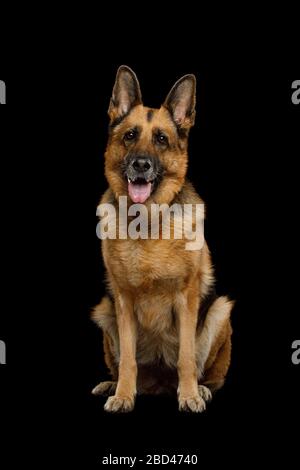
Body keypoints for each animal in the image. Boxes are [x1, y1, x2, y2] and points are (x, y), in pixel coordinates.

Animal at [92, 66, 233, 412]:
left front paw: (190, 395)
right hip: (104, 311)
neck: (148, 224)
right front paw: (123, 395)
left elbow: (185, 358)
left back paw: (201, 388)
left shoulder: (187, 298)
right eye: (130, 135)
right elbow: (128, 360)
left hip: (220, 311)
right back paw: (112, 385)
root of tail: (158, 383)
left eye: (161, 139)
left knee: (207, 372)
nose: (141, 165)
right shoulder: (122, 299)